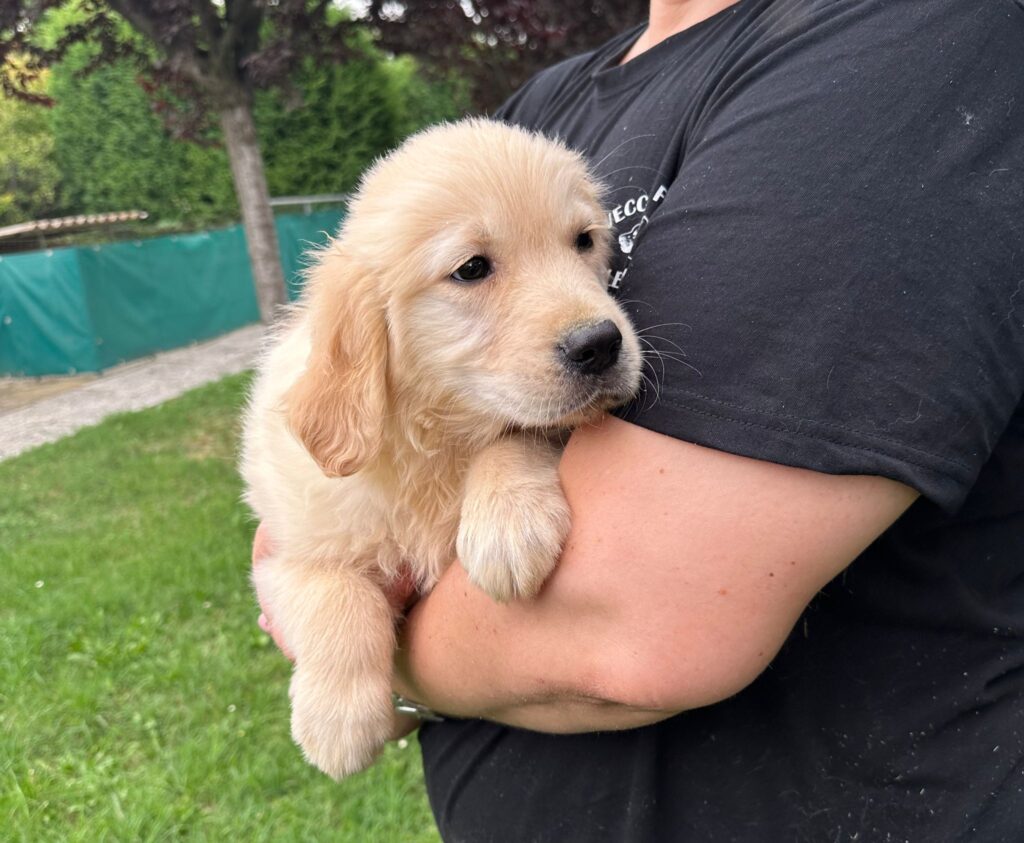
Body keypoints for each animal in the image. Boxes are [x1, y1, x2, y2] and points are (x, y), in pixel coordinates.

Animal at [241, 117, 638, 778]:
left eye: (583, 241)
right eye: (472, 268)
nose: (601, 344)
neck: (435, 439)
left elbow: (522, 432)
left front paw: (506, 524)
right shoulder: (286, 551)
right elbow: (333, 593)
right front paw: (337, 720)